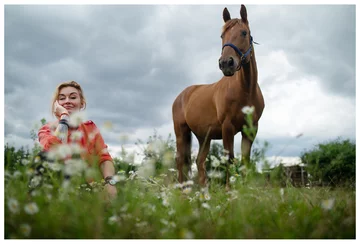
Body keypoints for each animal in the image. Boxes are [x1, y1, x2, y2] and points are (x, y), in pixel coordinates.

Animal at [172, 4, 264, 188]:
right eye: (222, 35)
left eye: (244, 33)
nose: (226, 63)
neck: (246, 91)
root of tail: (182, 95)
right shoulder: (227, 127)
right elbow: (229, 159)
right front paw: (229, 190)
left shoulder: (251, 129)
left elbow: (245, 161)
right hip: (181, 132)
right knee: (180, 161)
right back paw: (182, 190)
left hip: (204, 137)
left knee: (199, 161)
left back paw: (203, 190)